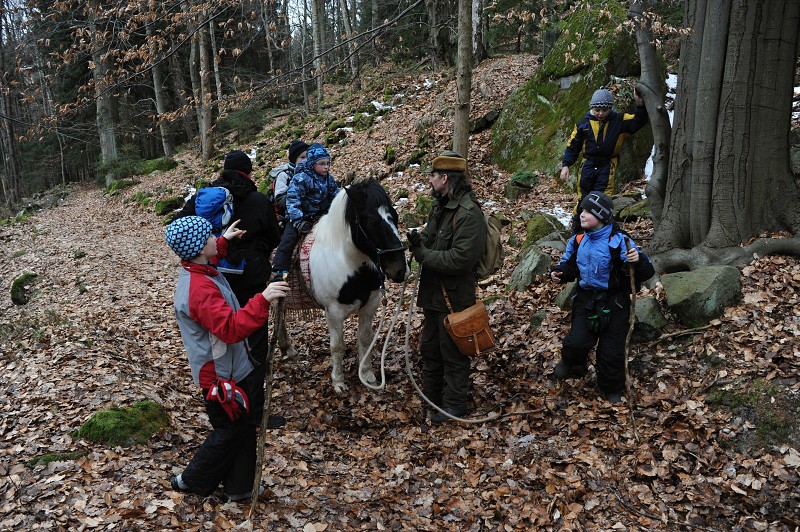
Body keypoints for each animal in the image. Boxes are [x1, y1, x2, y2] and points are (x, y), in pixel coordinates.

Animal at [276, 178, 412, 390]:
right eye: (371, 222)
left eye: (395, 216)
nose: (400, 270)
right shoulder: (333, 313)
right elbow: (337, 346)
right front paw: (338, 381)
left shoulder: (370, 305)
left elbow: (365, 339)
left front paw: (367, 374)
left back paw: (288, 350)